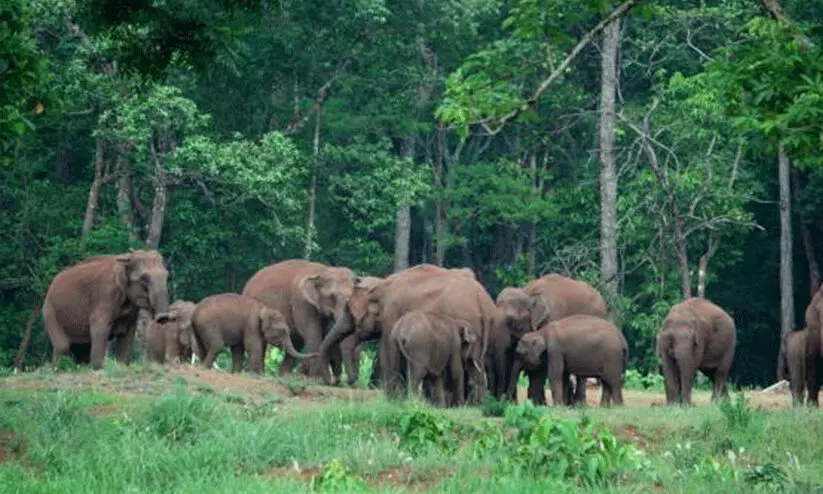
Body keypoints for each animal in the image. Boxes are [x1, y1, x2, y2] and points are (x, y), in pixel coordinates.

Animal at [13, 251, 170, 370]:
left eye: (167, 277)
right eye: (144, 279)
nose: (163, 317)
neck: (125, 260)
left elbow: (127, 336)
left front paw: (121, 365)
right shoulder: (104, 295)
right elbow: (99, 327)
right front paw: (98, 368)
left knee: (81, 349)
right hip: (50, 312)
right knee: (62, 346)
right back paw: (57, 370)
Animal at [316, 264, 496, 404]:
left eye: (349, 312)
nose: (337, 381)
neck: (381, 284)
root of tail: (483, 302)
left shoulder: (391, 313)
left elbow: (386, 350)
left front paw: (390, 397)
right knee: (475, 363)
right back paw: (476, 404)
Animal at [492, 274, 608, 406]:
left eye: (512, 321)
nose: (506, 400)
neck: (528, 292)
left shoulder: (551, 319)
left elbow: (542, 363)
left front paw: (539, 403)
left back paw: (578, 404)